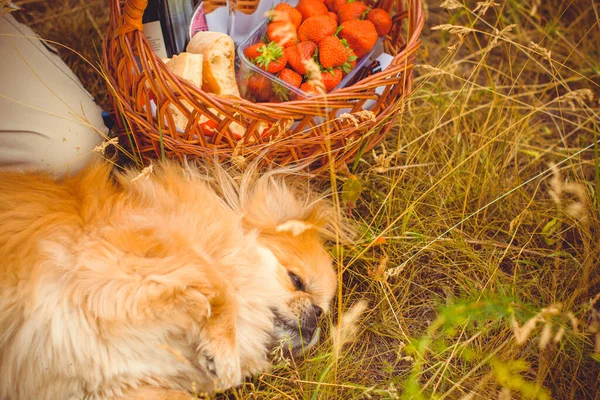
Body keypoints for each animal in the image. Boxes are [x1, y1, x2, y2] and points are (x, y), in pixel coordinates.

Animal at [0, 161, 346, 400]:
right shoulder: (111, 256)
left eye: (324, 309)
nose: (318, 315)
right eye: (296, 280)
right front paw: (224, 353)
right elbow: (220, 286)